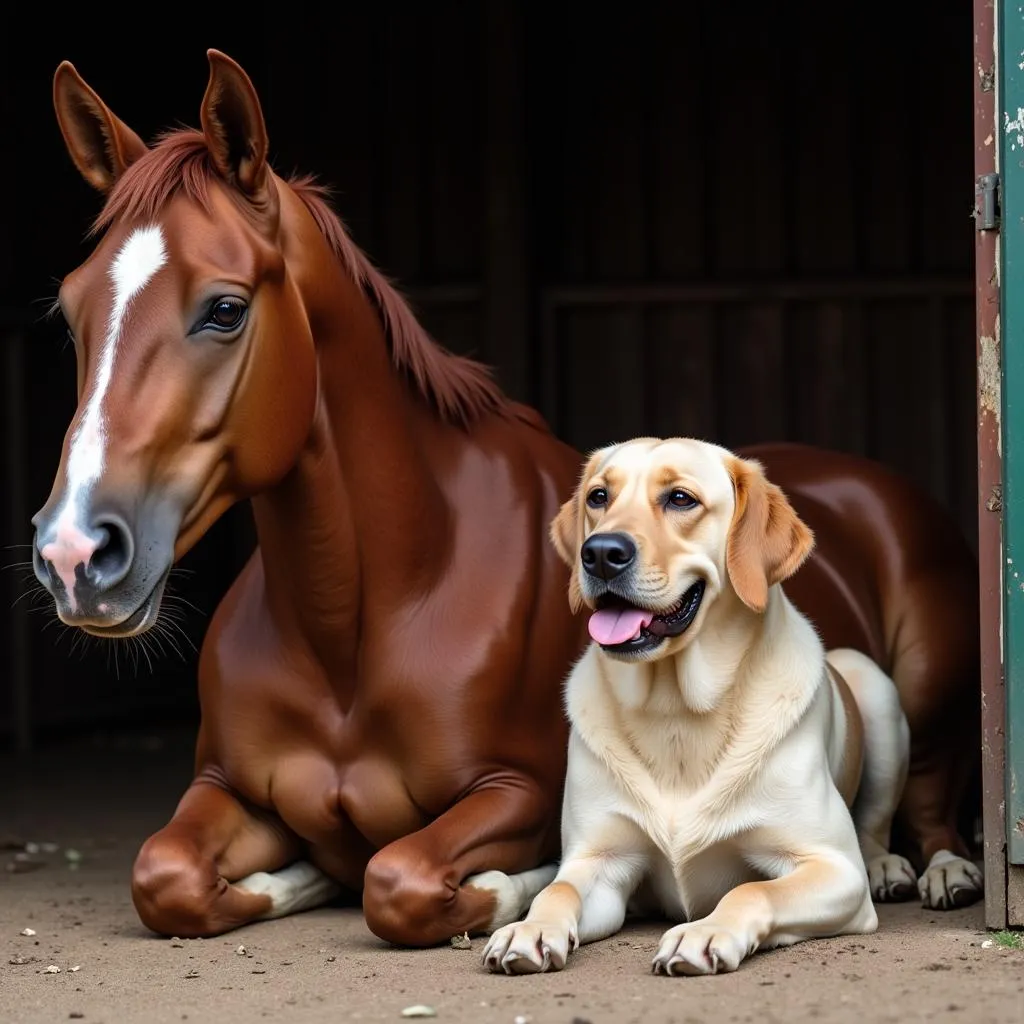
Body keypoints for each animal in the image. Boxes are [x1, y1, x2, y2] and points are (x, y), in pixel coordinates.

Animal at [483, 434, 917, 974]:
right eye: (599, 497)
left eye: (680, 499)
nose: (600, 552)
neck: (677, 713)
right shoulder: (599, 862)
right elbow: (558, 889)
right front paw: (530, 928)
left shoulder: (833, 867)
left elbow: (751, 890)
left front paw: (704, 932)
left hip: (875, 690)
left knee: (875, 828)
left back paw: (888, 867)